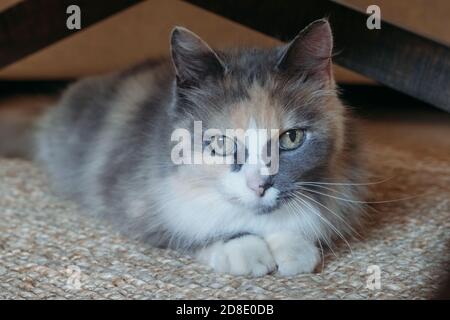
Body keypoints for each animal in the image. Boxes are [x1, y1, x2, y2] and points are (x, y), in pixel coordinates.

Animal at [33, 18, 368, 276]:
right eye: (221, 143)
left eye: (292, 138)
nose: (260, 185)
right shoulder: (138, 204)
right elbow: (194, 230)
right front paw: (246, 250)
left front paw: (294, 249)